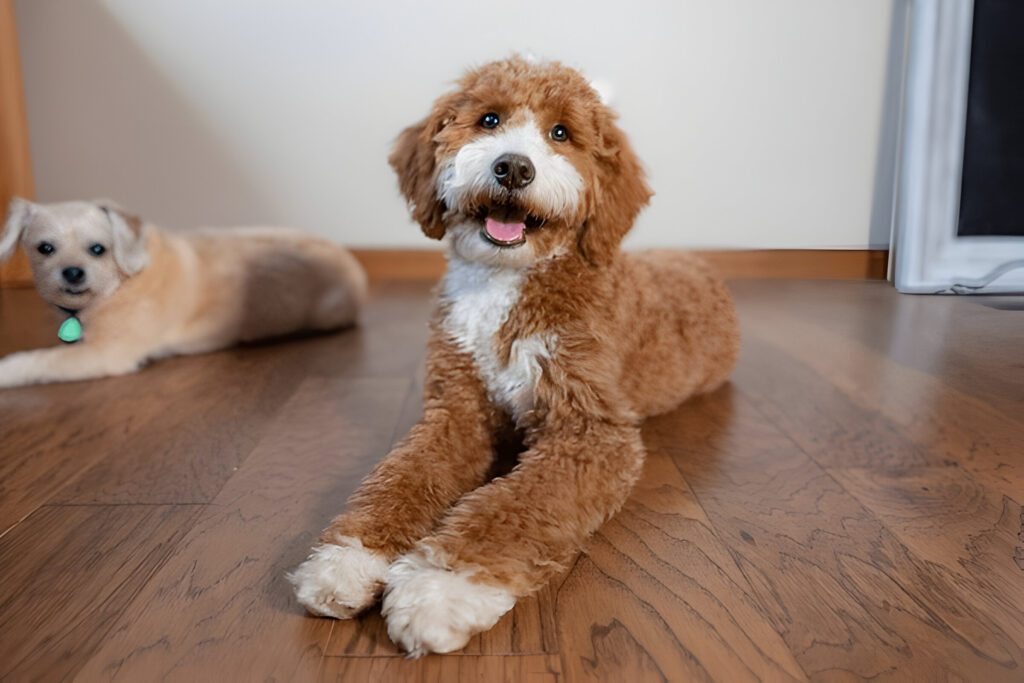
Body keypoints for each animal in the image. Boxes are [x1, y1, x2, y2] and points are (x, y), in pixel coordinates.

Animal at [0, 200, 368, 387]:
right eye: (45, 248)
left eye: (98, 249)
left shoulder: (108, 353)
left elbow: (41, 359)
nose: (73, 273)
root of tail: (354, 266)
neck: (122, 280)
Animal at [288, 56, 737, 655]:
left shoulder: (590, 433)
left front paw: (439, 589)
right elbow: (400, 475)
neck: (505, 281)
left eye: (561, 133)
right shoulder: (456, 410)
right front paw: (348, 558)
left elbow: (517, 505)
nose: (514, 168)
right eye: (489, 119)